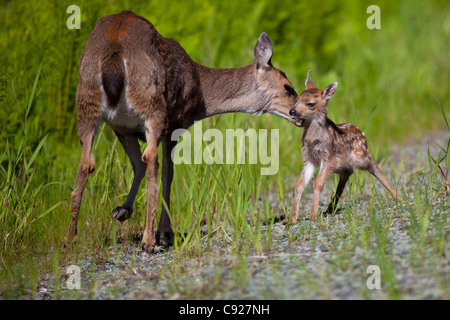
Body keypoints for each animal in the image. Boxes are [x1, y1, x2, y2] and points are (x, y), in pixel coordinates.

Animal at [66, 11, 298, 254]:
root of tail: (114, 52)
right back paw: (148, 240)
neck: (201, 97)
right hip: (152, 103)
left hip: (86, 100)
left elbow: (138, 166)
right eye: (287, 87)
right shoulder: (173, 124)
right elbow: (168, 173)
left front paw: (122, 211)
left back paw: (70, 237)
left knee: (87, 162)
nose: (297, 113)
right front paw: (164, 234)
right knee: (151, 159)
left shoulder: (123, 127)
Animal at [290, 71, 402, 224]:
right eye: (297, 99)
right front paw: (292, 219)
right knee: (348, 171)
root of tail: (363, 134)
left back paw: (398, 197)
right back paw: (330, 208)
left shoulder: (328, 157)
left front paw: (313, 215)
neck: (313, 139)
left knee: (372, 164)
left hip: (359, 156)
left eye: (310, 104)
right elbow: (300, 184)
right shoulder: (309, 159)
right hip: (341, 163)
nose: (292, 111)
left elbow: (317, 183)